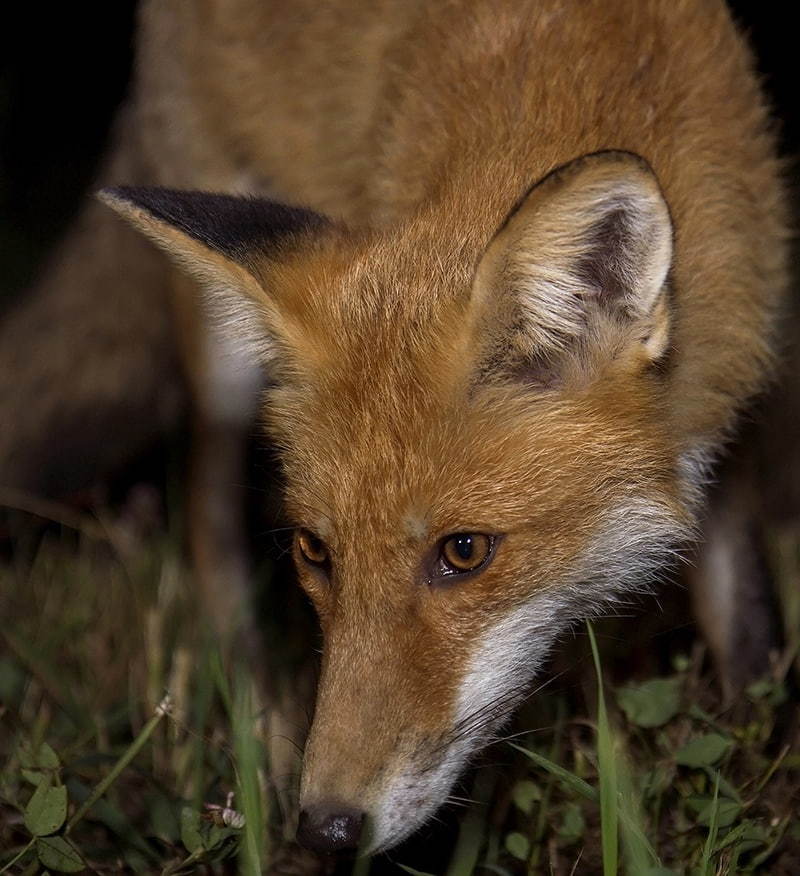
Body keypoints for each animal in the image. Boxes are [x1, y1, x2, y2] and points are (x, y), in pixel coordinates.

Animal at [0, 0, 788, 860]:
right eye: (315, 551)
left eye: (464, 552)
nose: (326, 829)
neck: (586, 63)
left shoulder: (729, 410)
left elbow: (746, 617)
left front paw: (760, 772)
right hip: (219, 356)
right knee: (206, 510)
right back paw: (250, 711)